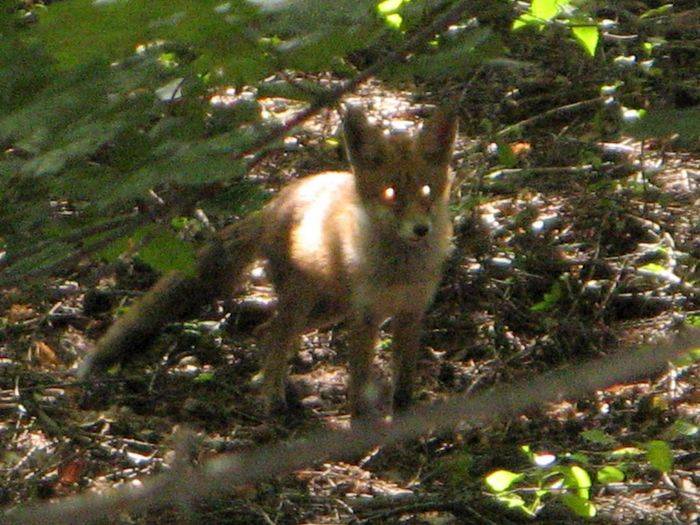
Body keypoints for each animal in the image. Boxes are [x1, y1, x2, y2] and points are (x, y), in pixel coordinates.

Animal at [82, 105, 456, 418]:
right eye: (390, 194)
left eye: (427, 191)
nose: (421, 229)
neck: (400, 271)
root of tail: (273, 204)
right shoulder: (365, 317)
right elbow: (359, 388)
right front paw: (362, 432)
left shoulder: (411, 313)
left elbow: (404, 388)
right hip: (303, 303)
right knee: (274, 334)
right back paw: (273, 397)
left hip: (327, 309)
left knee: (266, 334)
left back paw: (274, 384)